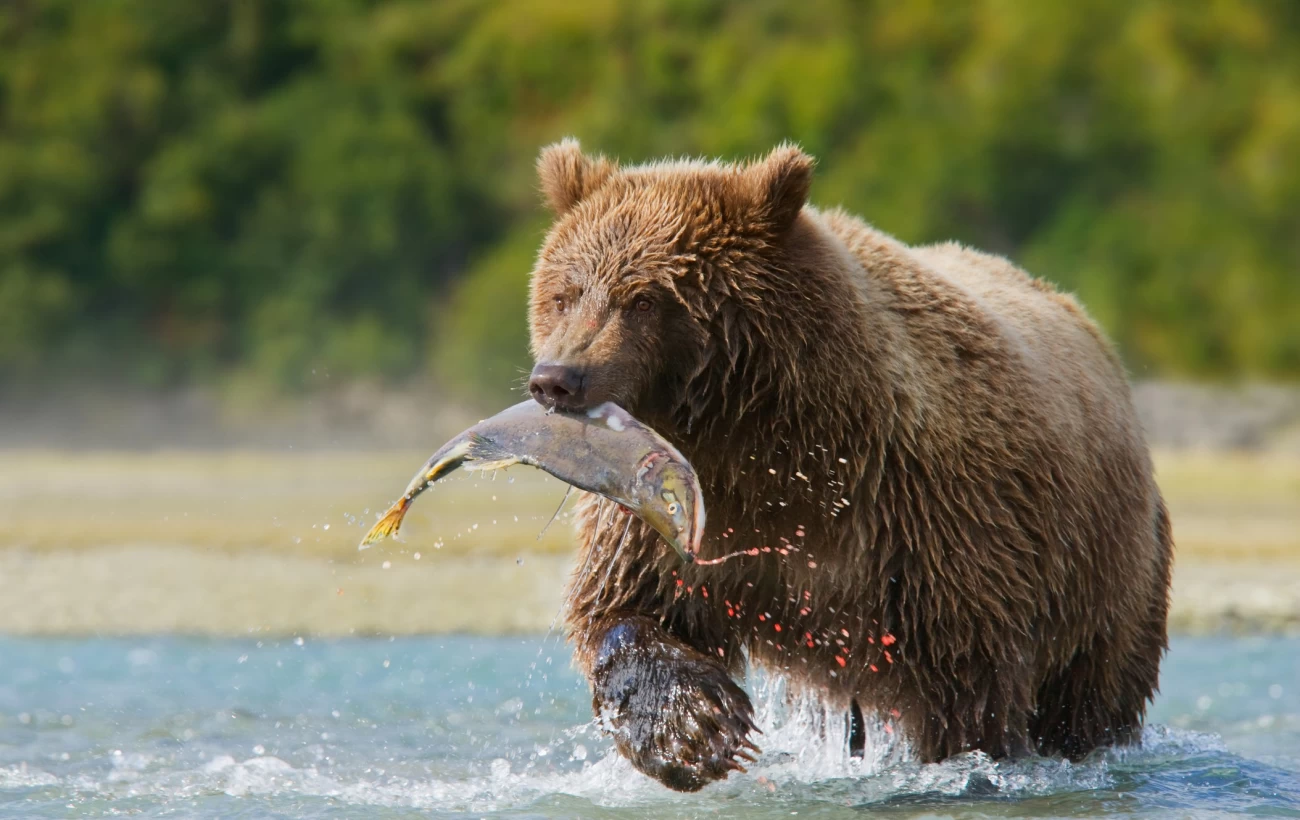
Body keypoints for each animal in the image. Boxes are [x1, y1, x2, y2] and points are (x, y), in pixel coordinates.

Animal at [524, 139, 1173, 792]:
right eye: (563, 293)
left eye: (644, 299)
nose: (557, 378)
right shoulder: (672, 515)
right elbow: (626, 604)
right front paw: (691, 729)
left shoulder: (924, 520)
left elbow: (967, 685)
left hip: (1106, 574)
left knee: (1090, 696)